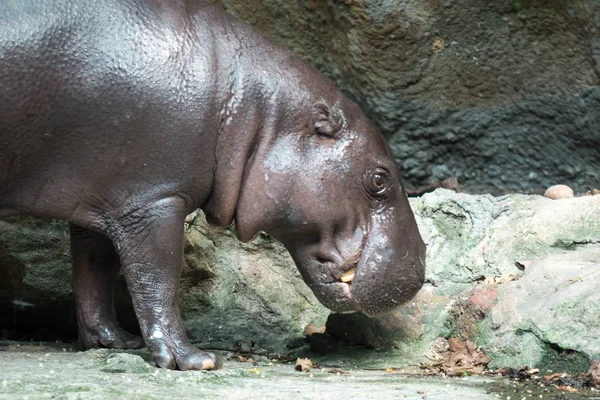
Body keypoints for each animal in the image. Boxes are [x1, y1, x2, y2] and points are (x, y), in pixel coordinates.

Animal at [0, 0, 426, 370]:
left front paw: (113, 342)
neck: (255, 113)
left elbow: (93, 275)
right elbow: (157, 281)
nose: (420, 266)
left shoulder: (100, 200)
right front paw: (193, 360)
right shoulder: (153, 199)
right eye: (379, 179)